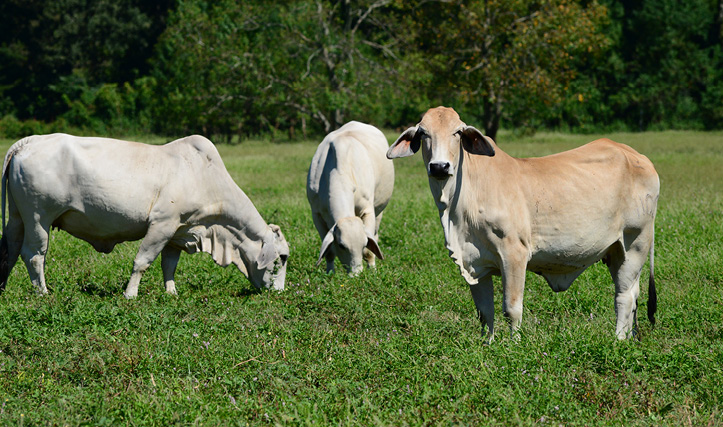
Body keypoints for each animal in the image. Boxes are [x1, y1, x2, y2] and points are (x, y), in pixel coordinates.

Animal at [0, 133, 289, 298]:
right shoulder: (162, 225)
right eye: (282, 258)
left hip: (17, 218)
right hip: (39, 217)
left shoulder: (178, 231)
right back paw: (42, 292)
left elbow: (169, 265)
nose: (279, 292)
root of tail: (29, 142)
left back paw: (2, 287)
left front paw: (171, 293)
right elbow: (142, 261)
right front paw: (130, 294)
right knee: (34, 255)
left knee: (9, 251)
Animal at [307, 121, 394, 275]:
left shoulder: (368, 210)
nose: (356, 274)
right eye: (342, 245)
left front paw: (372, 271)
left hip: (379, 210)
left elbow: (369, 250)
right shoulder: (316, 215)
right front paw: (330, 273)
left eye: (364, 243)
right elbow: (329, 252)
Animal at [386, 107, 659, 341]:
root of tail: (638, 157)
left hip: (636, 242)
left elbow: (512, 308)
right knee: (633, 293)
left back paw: (618, 340)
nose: (439, 167)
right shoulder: (475, 263)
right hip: (616, 251)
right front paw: (488, 345)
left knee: (624, 296)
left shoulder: (513, 253)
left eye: (457, 132)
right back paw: (630, 337)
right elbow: (485, 311)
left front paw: (514, 345)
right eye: (423, 133)